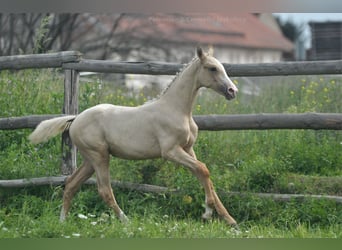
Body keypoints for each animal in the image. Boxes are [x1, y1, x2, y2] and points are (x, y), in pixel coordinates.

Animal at [28, 47, 238, 227]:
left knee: (71, 184)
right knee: (104, 190)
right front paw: (208, 213)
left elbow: (205, 176)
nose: (232, 91)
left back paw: (62, 221)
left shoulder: (188, 149)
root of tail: (75, 118)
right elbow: (203, 170)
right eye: (212, 68)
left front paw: (230, 220)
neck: (177, 110)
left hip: (90, 160)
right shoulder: (171, 151)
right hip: (99, 156)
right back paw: (126, 221)